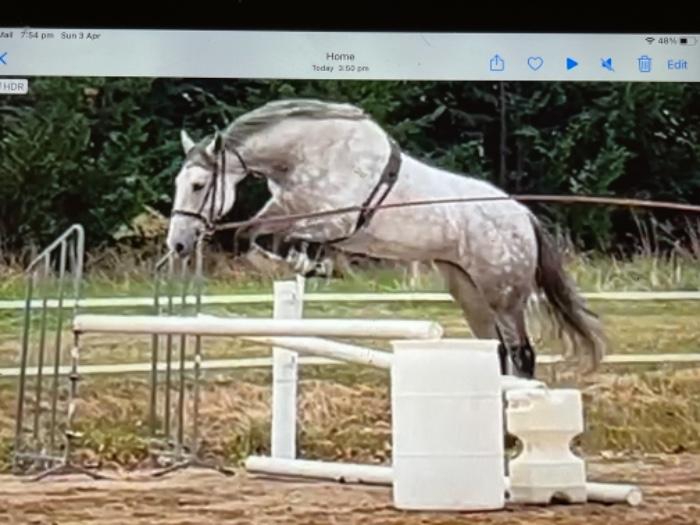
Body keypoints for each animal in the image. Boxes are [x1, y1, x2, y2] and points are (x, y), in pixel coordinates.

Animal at [166, 98, 607, 378]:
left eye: (199, 185)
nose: (179, 244)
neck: (308, 152)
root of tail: (523, 215)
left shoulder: (334, 219)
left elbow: (262, 236)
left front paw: (305, 263)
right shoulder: (286, 208)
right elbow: (252, 233)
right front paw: (306, 263)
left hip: (504, 293)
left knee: (522, 354)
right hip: (468, 291)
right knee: (495, 351)